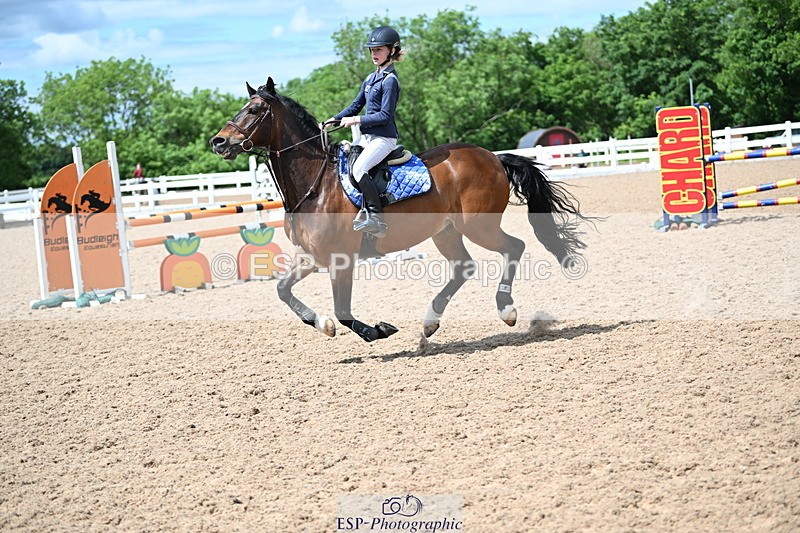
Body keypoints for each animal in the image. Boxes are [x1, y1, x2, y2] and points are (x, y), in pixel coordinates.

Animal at [210, 77, 588, 343]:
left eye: (254, 111)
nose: (219, 142)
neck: (315, 185)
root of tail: (493, 157)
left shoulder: (339, 258)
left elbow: (343, 310)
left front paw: (376, 330)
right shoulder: (311, 255)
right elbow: (283, 290)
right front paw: (323, 325)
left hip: (478, 226)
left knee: (514, 247)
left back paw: (505, 309)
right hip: (447, 231)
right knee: (463, 267)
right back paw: (431, 322)